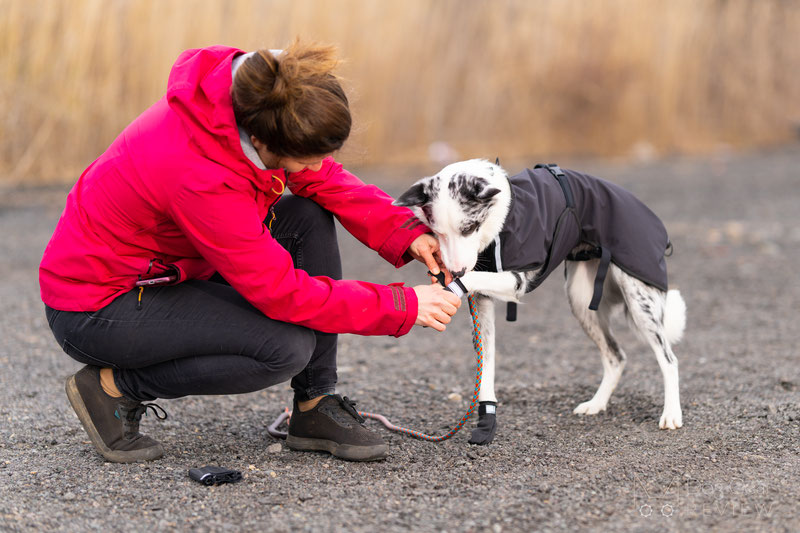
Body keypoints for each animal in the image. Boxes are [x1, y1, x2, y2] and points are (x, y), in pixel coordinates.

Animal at [396, 159, 684, 444]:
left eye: (469, 228)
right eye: (438, 233)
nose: (455, 272)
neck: (502, 219)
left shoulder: (516, 280)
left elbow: (473, 279)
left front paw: (445, 291)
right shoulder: (482, 301)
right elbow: (485, 365)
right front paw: (486, 417)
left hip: (638, 298)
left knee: (669, 359)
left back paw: (671, 413)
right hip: (581, 299)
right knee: (616, 357)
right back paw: (597, 403)